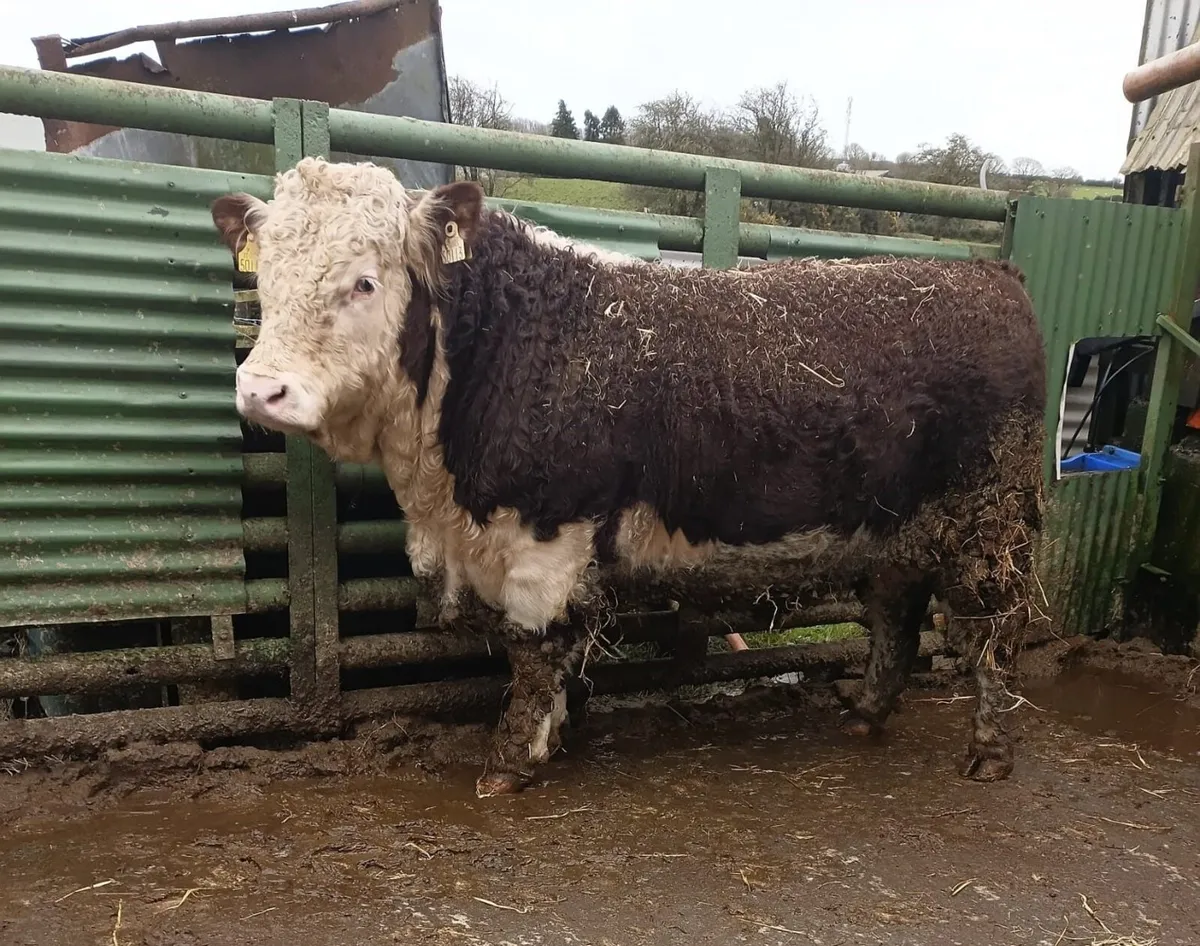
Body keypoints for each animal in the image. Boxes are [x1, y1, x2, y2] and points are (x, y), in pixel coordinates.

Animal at [212, 157, 1048, 797]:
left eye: (363, 282)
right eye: (265, 280)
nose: (261, 390)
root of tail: (994, 276)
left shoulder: (547, 538)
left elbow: (534, 651)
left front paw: (512, 762)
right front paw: (548, 736)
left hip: (990, 523)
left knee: (996, 631)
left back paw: (989, 751)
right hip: (896, 528)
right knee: (896, 620)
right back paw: (866, 712)